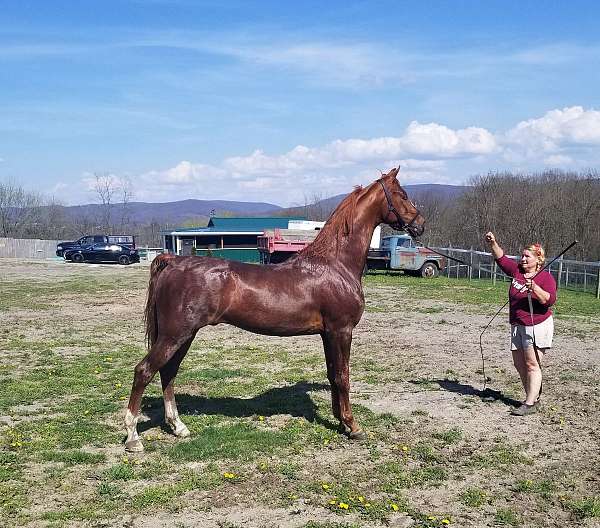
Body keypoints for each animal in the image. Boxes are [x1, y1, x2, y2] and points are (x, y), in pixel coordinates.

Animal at [124, 167, 424, 452]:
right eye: (403, 194)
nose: (420, 224)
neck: (335, 264)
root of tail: (173, 261)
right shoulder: (342, 330)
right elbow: (343, 376)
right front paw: (353, 426)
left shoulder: (328, 333)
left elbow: (332, 374)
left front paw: (340, 420)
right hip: (175, 334)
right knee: (144, 371)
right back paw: (133, 438)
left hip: (184, 335)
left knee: (168, 372)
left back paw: (178, 426)